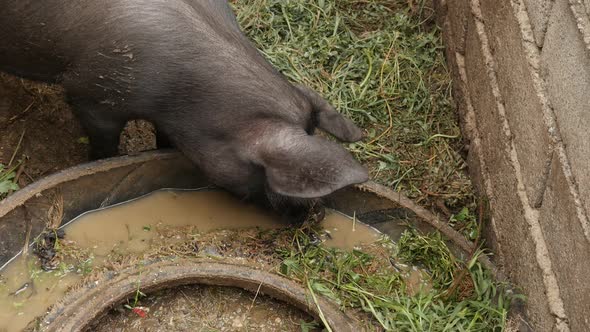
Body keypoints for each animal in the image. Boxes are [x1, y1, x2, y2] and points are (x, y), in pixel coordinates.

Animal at [0, 0, 368, 220]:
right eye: (263, 172)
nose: (313, 217)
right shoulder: (92, 96)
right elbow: (105, 146)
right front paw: (97, 163)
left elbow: (163, 140)